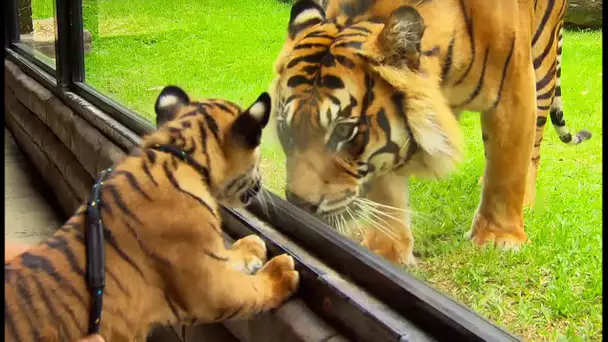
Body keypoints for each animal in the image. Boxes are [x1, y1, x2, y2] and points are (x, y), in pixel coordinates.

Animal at [4, 87, 300, 340]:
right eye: (258, 158)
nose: (261, 183)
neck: (182, 154)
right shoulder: (211, 287)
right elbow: (252, 290)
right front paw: (281, 273)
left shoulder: (209, 252)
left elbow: (230, 253)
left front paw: (253, 245)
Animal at [268, 0, 592, 266]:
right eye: (285, 129)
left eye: (344, 131)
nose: (299, 205)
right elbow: (386, 189)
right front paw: (388, 251)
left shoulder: (514, 88)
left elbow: (507, 166)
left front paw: (499, 238)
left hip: (544, 65)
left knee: (533, 147)